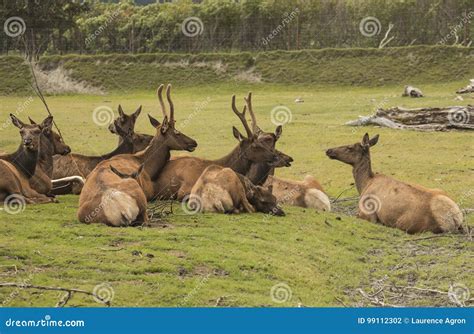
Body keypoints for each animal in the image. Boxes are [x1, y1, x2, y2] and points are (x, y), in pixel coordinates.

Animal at [326, 132, 462, 234]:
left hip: (408, 224)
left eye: (349, 147)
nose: (329, 150)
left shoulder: (367, 213)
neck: (365, 183)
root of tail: (454, 218)